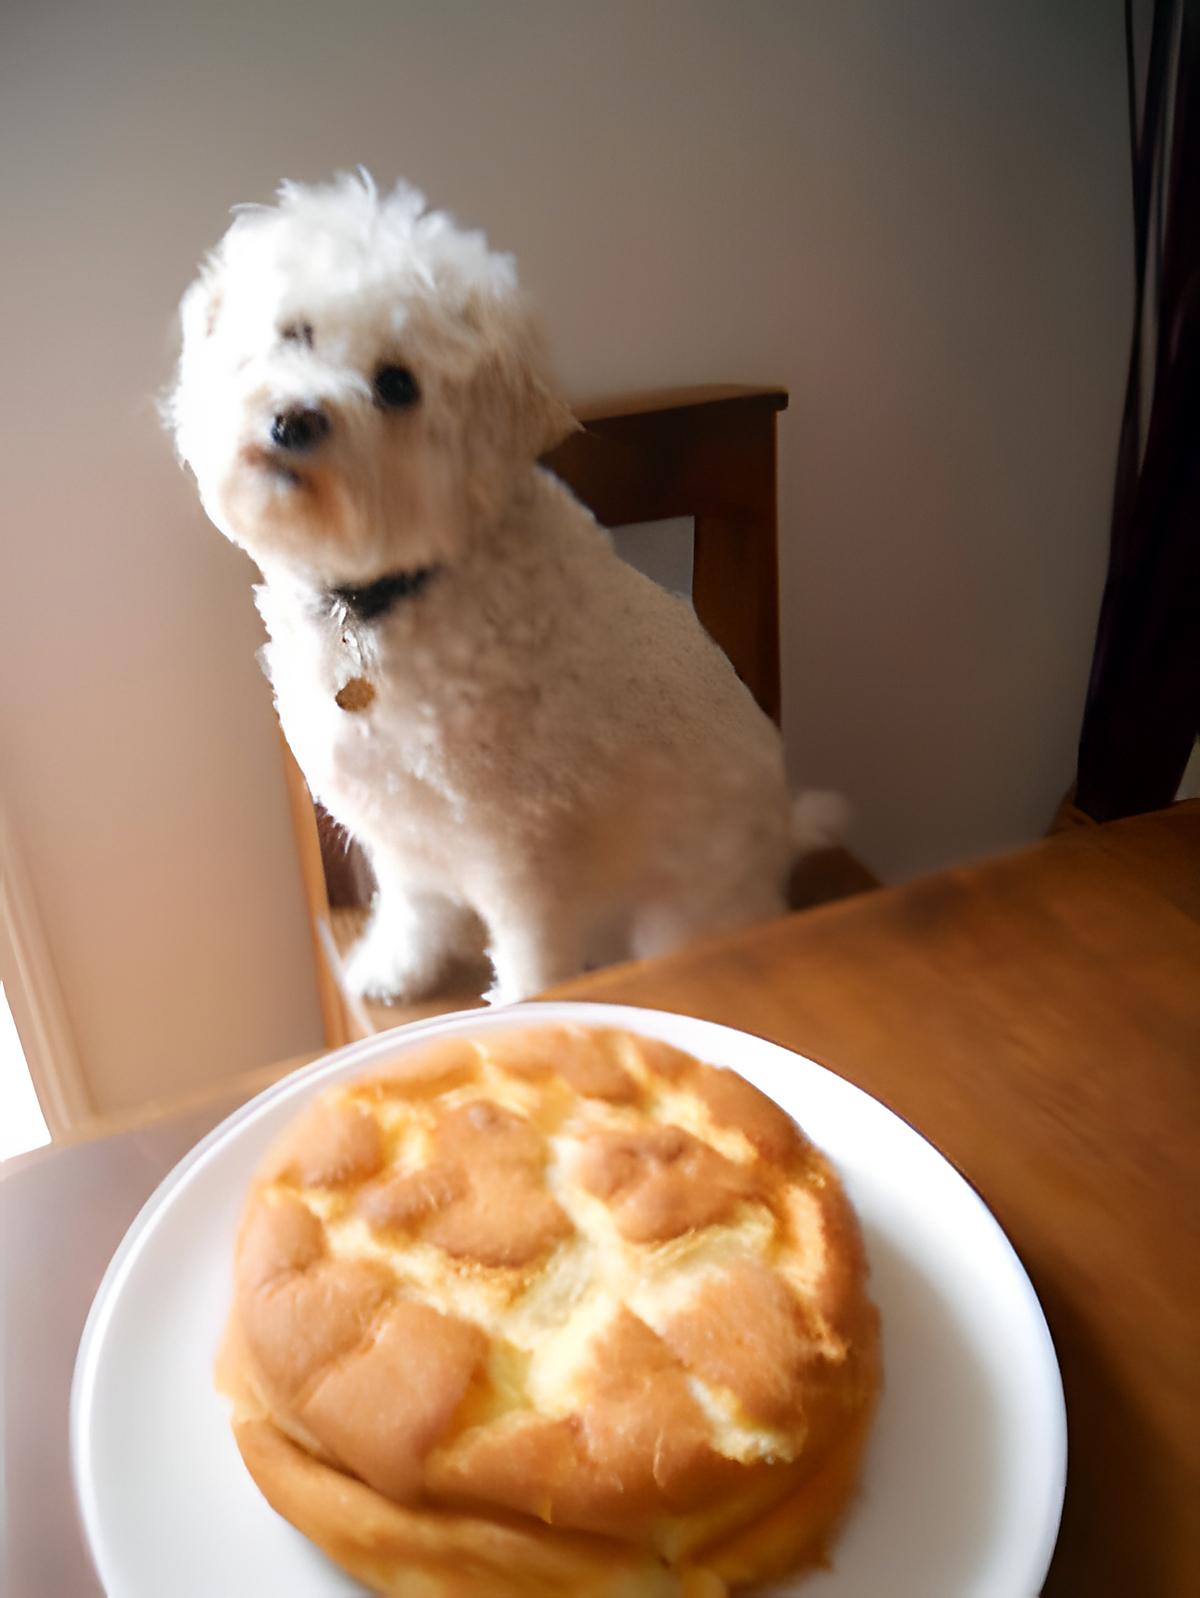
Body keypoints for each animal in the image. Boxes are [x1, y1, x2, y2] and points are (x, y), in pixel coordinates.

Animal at [169, 174, 837, 997]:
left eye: (397, 385)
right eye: (296, 333)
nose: (295, 420)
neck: (390, 600)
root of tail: (781, 837)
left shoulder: (523, 851)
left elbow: (530, 957)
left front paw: (522, 1004)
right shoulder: (399, 823)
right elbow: (413, 908)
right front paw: (396, 968)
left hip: (680, 906)